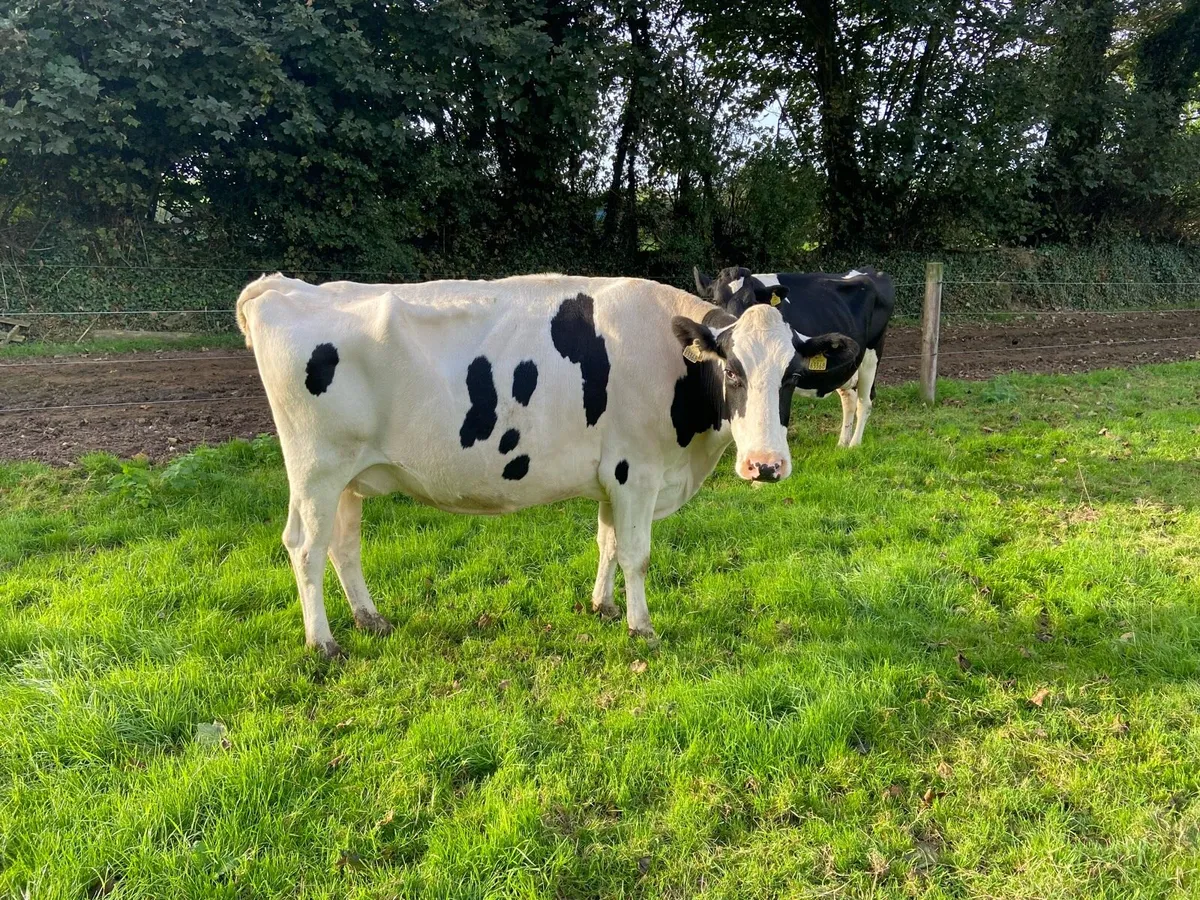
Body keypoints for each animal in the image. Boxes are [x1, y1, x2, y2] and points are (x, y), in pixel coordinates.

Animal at [235, 273, 860, 656]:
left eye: (792, 376)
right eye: (732, 370)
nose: (765, 465)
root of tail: (284, 286)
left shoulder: (612, 475)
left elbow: (607, 544)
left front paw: (602, 607)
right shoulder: (637, 472)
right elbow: (636, 555)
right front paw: (641, 628)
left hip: (348, 476)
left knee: (342, 544)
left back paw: (370, 620)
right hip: (316, 470)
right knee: (305, 546)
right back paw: (324, 643)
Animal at [693, 266, 895, 447]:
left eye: (751, 302)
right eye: (716, 301)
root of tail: (871, 271)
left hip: (871, 356)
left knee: (865, 402)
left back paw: (854, 445)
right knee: (849, 398)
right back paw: (842, 444)